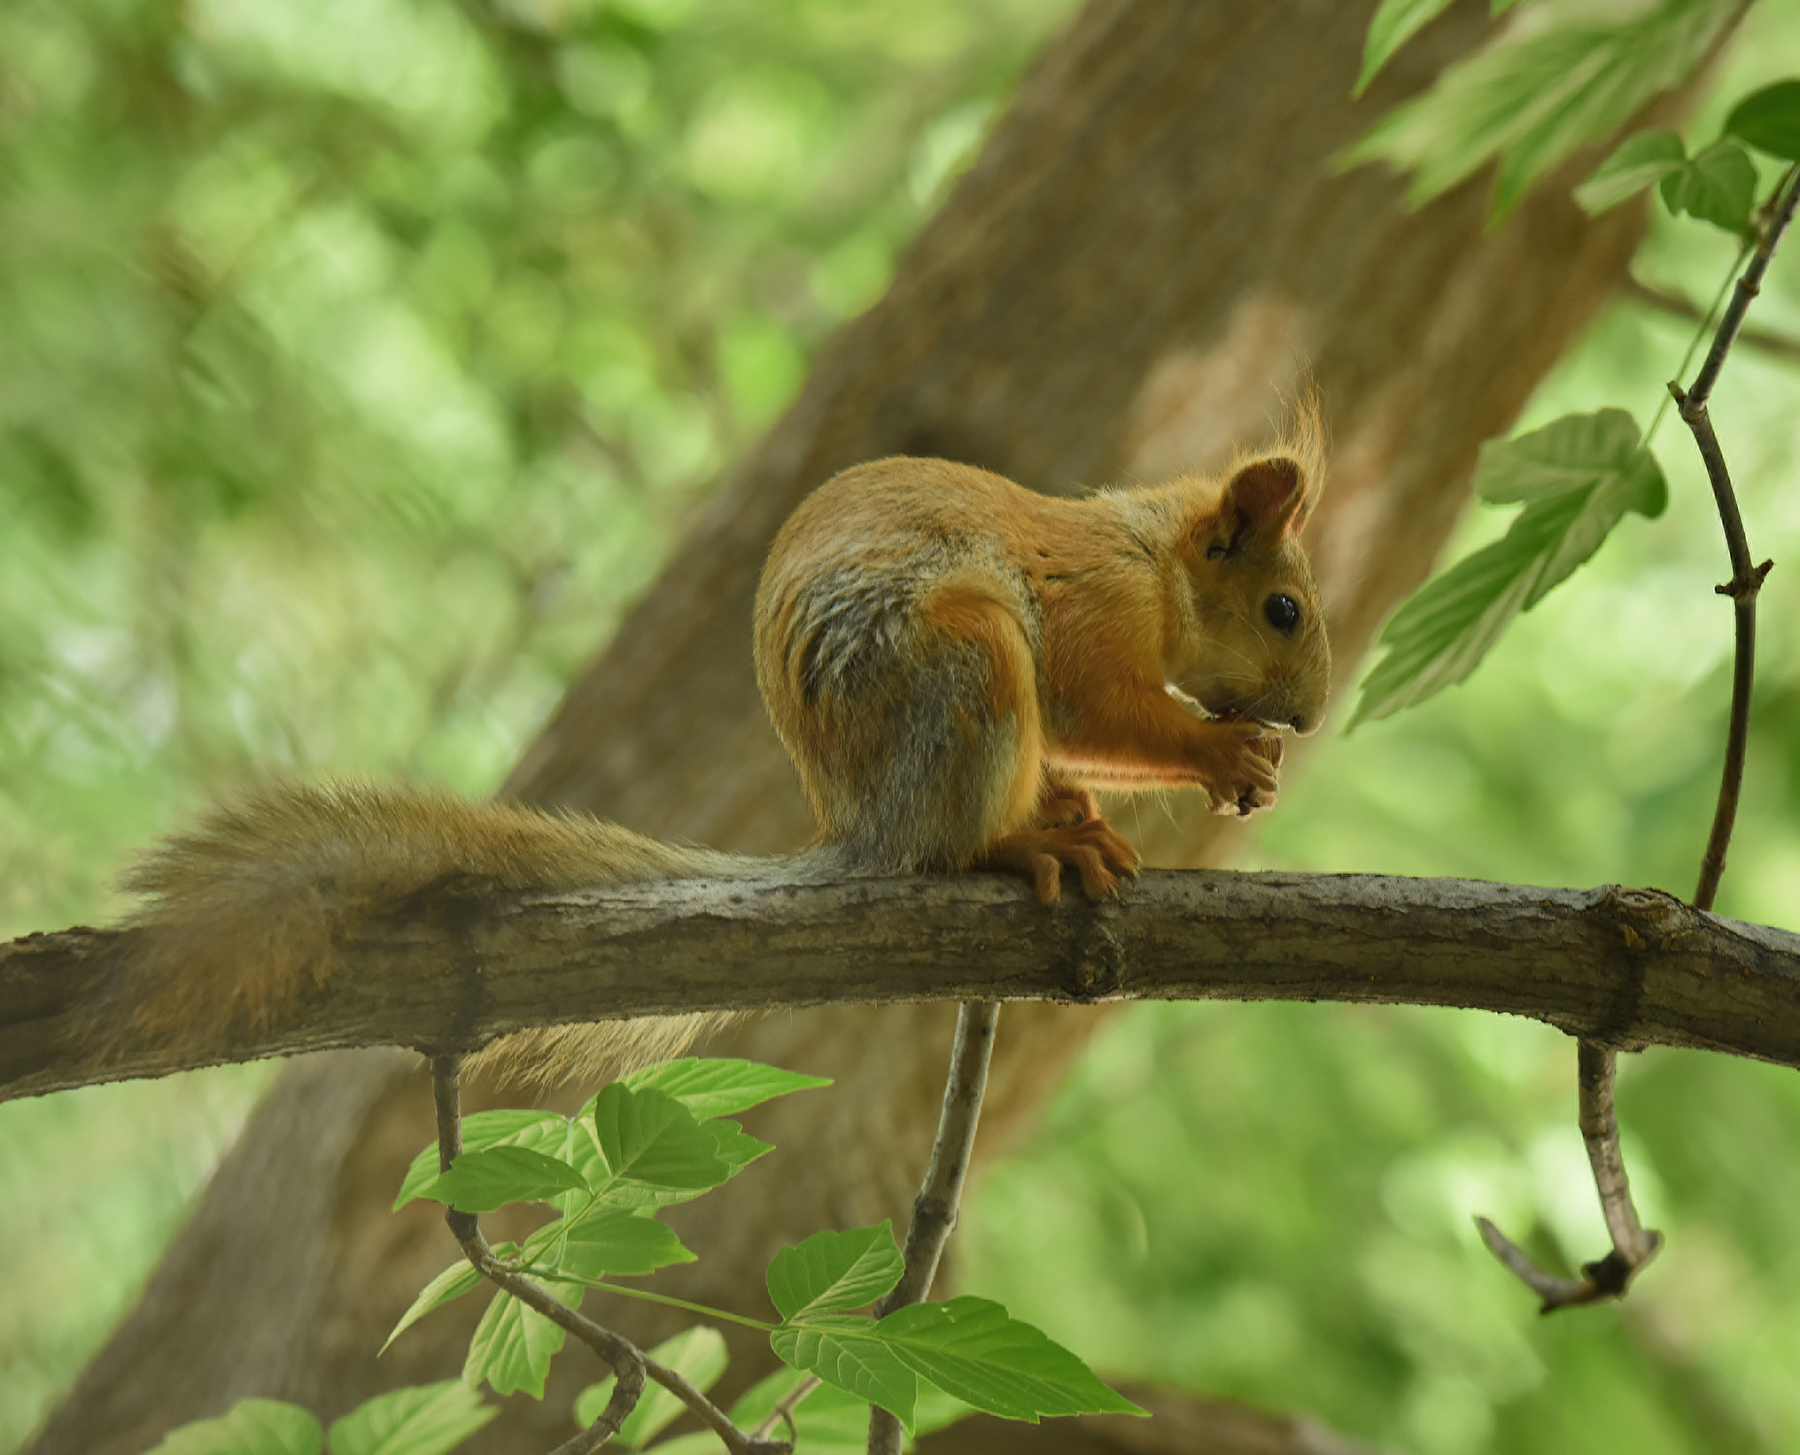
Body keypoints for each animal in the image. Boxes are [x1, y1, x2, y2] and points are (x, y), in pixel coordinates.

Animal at [104, 426, 1329, 1082]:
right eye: (1283, 609)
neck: (1151, 557)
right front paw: (1225, 754)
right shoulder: (1088, 617)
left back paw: (1058, 818)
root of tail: (864, 826)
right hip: (970, 659)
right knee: (952, 840)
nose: (1312, 717)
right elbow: (1101, 711)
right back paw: (1022, 845)